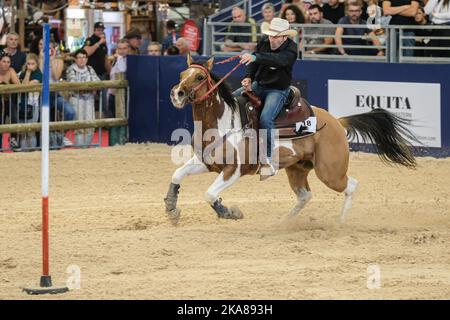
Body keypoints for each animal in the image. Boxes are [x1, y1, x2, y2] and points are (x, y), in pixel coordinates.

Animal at [163, 54, 416, 225]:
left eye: (199, 76)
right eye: (181, 75)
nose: (177, 93)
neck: (225, 121)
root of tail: (336, 121)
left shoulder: (233, 170)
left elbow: (210, 194)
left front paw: (229, 212)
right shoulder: (205, 162)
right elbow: (177, 174)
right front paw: (172, 209)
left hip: (330, 172)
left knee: (351, 185)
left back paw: (340, 222)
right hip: (297, 169)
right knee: (305, 195)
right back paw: (285, 221)